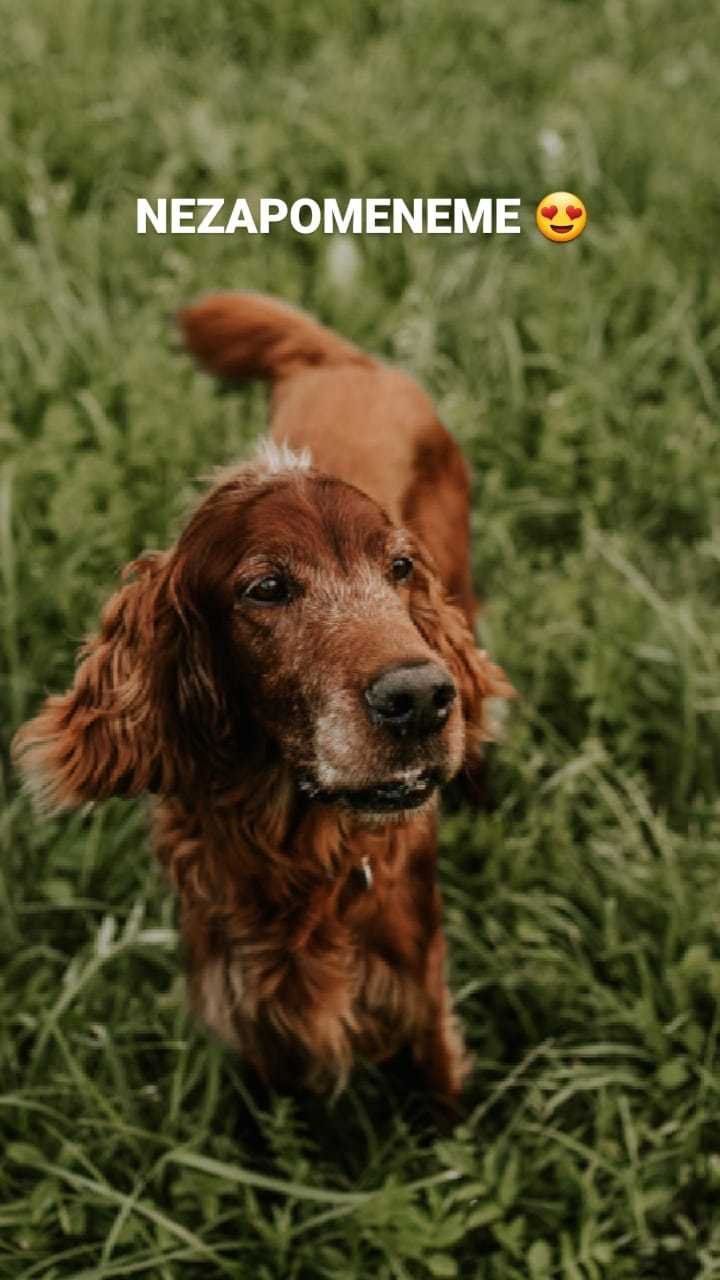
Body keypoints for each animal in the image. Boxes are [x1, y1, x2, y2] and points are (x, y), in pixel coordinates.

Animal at [16, 294, 509, 1105]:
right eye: (268, 587)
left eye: (400, 567)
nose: (420, 698)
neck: (296, 851)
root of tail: (344, 361)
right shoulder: (249, 1014)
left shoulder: (419, 986)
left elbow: (443, 1095)